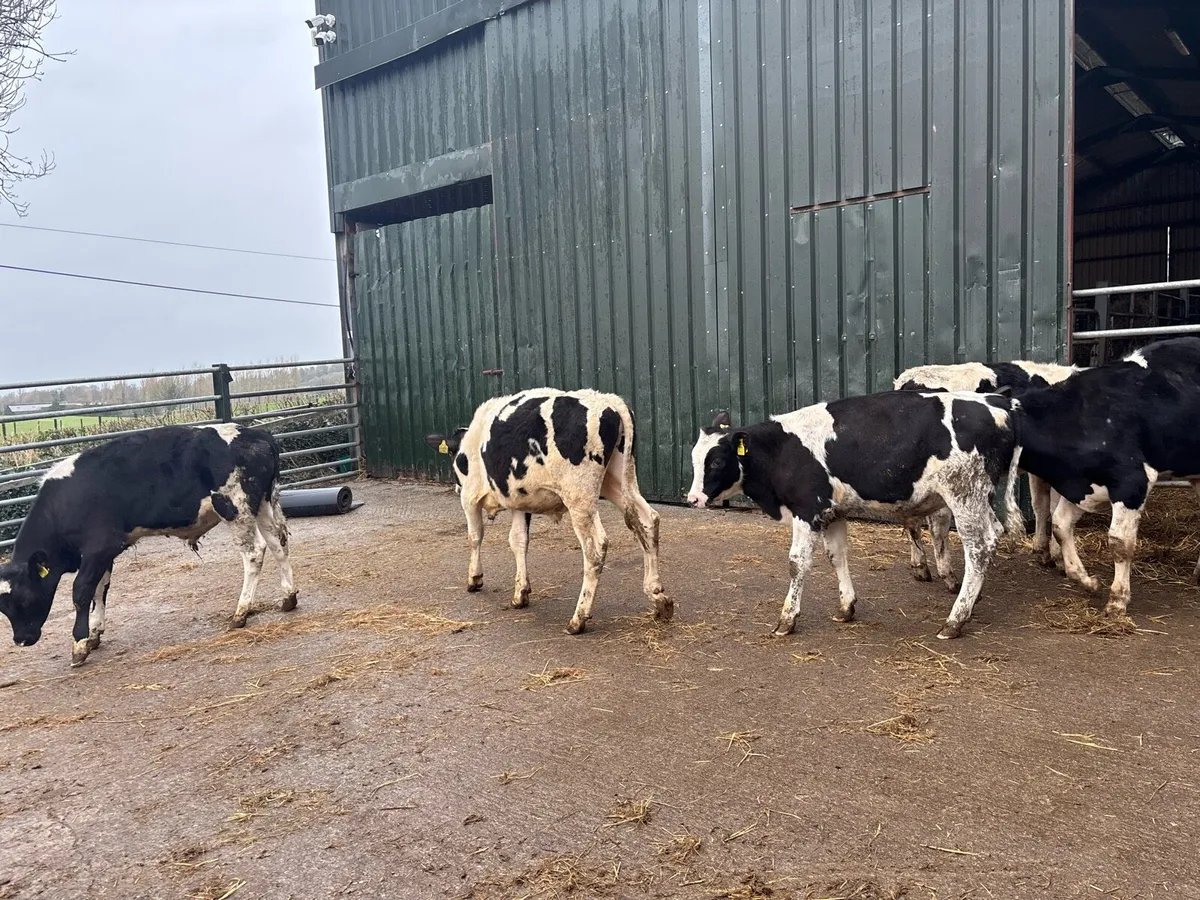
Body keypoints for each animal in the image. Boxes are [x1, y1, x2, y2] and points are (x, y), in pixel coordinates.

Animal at [0, 424, 296, 667]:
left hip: (235, 509)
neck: (65, 502)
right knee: (278, 542)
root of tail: (256, 434)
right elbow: (100, 589)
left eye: (24, 598)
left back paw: (241, 612)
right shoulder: (104, 553)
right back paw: (288, 597)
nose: (22, 640)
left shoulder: (99, 547)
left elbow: (81, 592)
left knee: (254, 552)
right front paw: (95, 633)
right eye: (3, 607)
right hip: (264, 504)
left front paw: (79, 644)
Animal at [424, 388, 670, 634]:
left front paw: (474, 579)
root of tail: (610, 401)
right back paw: (658, 597)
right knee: (648, 521)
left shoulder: (469, 497)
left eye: (451, 455)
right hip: (618, 482)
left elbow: (474, 537)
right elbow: (518, 541)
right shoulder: (519, 501)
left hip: (580, 498)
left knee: (596, 547)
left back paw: (578, 619)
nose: (456, 486)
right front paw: (520, 594)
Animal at [686, 390, 1024, 640]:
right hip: (980, 498)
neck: (782, 450)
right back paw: (971, 603)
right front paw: (846, 607)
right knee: (993, 535)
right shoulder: (832, 512)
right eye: (694, 459)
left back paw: (955, 620)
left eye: (716, 462)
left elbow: (797, 564)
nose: (693, 499)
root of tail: (999, 403)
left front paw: (787, 619)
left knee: (979, 548)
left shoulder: (807, 510)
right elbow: (837, 556)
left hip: (964, 495)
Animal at [894, 360, 1082, 581]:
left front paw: (1043, 552)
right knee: (938, 522)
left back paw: (920, 567)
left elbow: (1041, 506)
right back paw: (947, 573)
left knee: (913, 518)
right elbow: (1053, 508)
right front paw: (1058, 557)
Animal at [1013, 337, 1200, 616]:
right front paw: (1085, 580)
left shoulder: (1132, 481)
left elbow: (1119, 542)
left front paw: (1118, 599)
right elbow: (1060, 525)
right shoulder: (1082, 484)